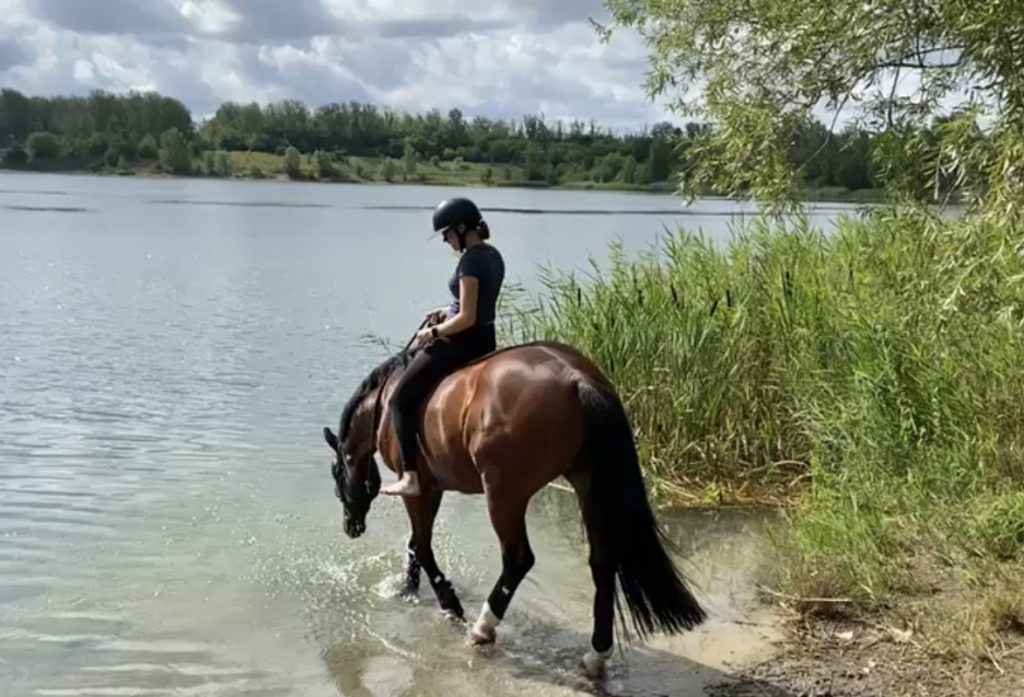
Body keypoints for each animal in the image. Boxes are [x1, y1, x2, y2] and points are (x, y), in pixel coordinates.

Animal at [321, 338, 707, 679]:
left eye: (337, 475)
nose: (350, 527)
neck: (384, 405)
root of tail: (577, 379)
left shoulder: (418, 490)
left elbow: (423, 546)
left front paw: (449, 603)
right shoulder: (434, 488)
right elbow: (416, 544)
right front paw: (407, 588)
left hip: (504, 493)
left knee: (518, 559)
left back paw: (482, 629)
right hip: (586, 482)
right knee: (601, 561)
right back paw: (595, 656)